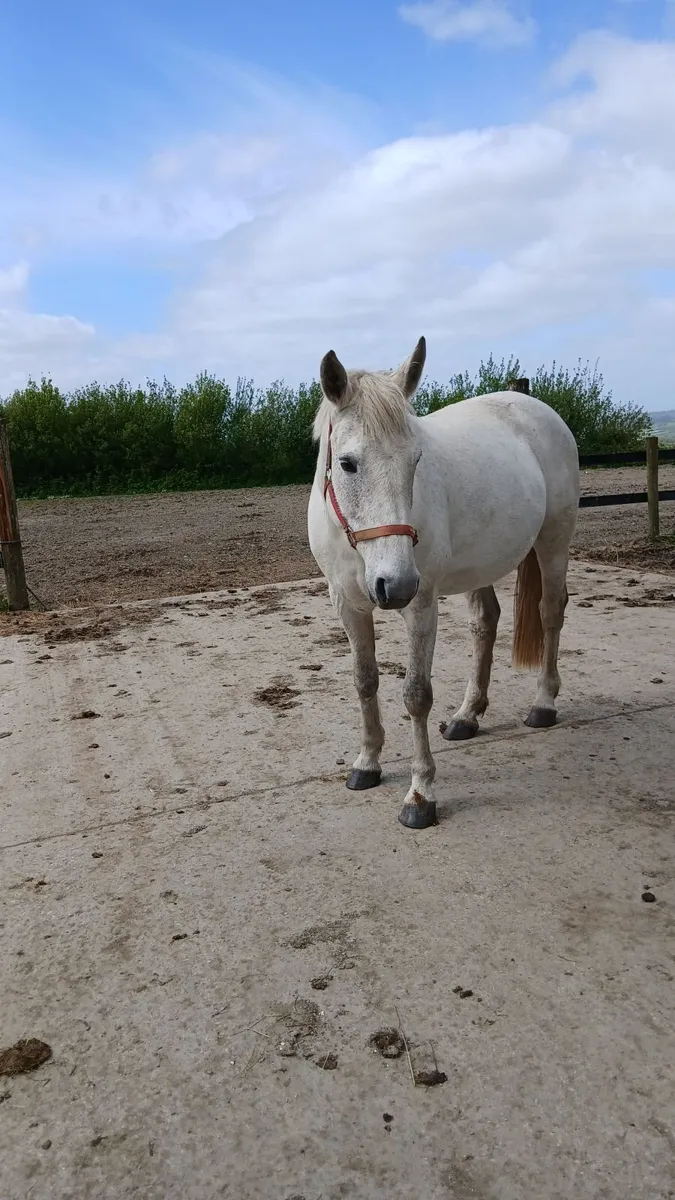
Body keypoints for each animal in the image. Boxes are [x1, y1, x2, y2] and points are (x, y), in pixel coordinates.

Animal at [307, 337, 580, 830]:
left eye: (416, 461)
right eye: (348, 463)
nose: (394, 585)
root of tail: (536, 407)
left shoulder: (421, 605)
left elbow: (416, 694)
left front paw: (420, 795)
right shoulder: (348, 605)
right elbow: (364, 680)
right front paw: (367, 763)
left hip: (554, 543)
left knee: (551, 612)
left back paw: (543, 704)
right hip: (480, 566)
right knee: (485, 623)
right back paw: (467, 716)